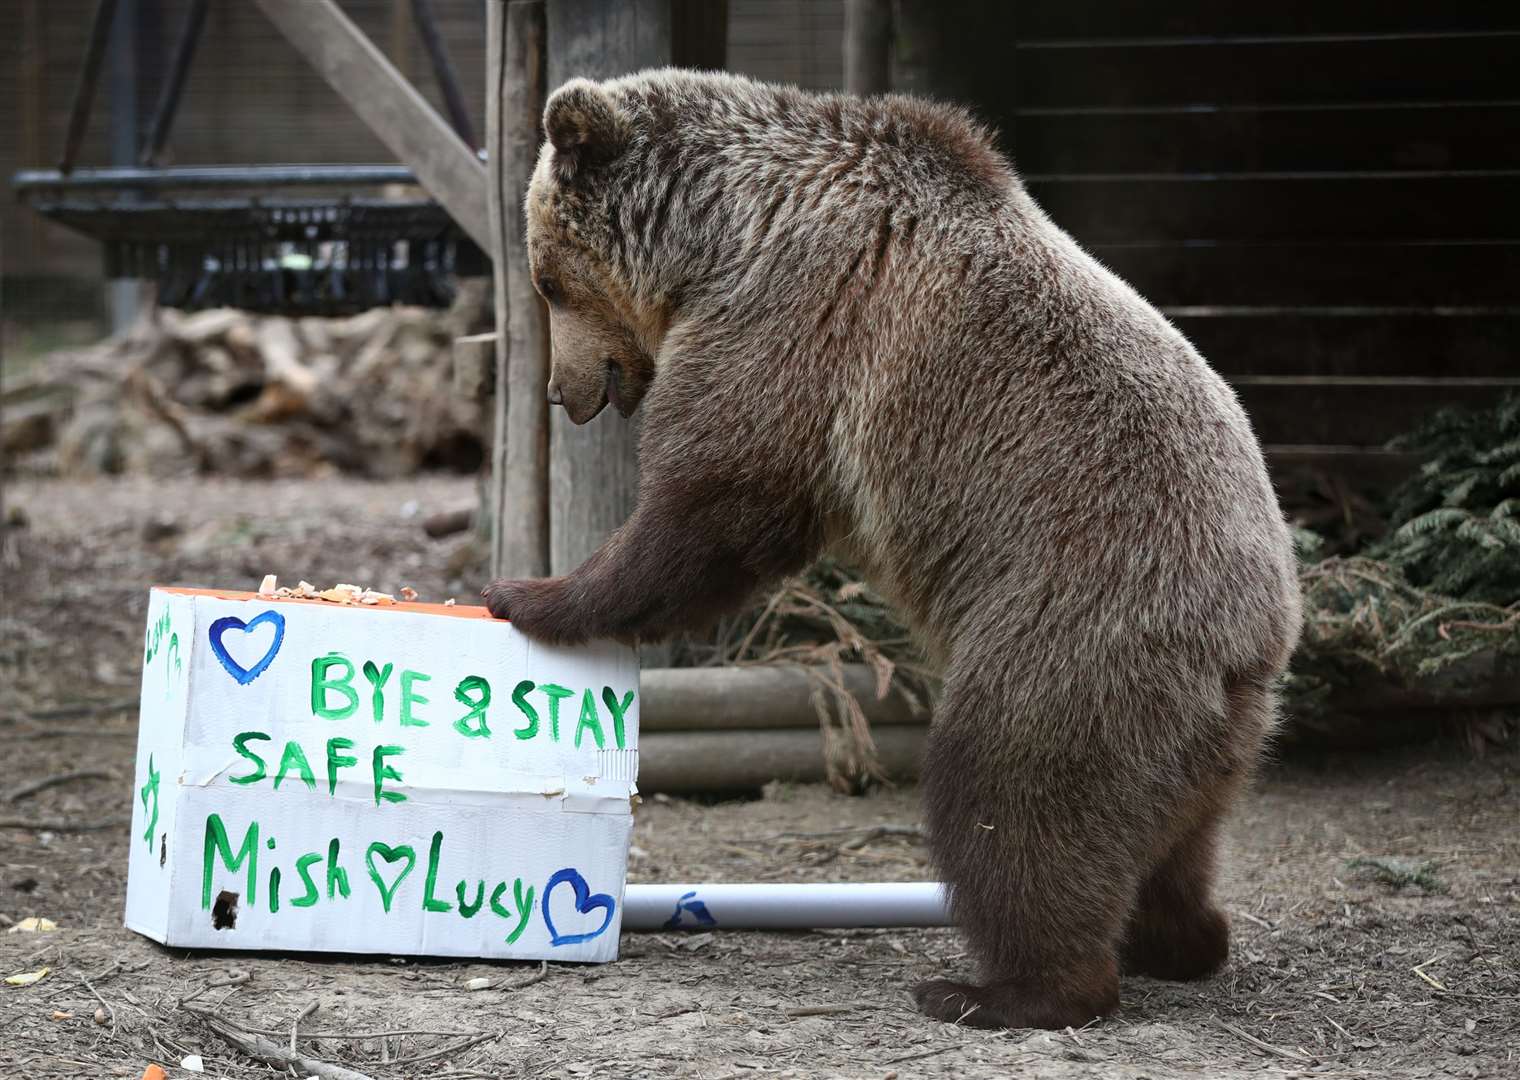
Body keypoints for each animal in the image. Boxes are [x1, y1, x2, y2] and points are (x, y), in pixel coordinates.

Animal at [480, 67, 1301, 1032]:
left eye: (546, 280)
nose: (562, 392)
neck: (721, 231)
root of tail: (1256, 641)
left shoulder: (794, 318)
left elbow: (717, 500)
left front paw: (530, 592)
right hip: (1203, 737)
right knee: (1175, 845)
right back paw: (1178, 940)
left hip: (1076, 631)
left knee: (1009, 793)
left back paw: (999, 987)